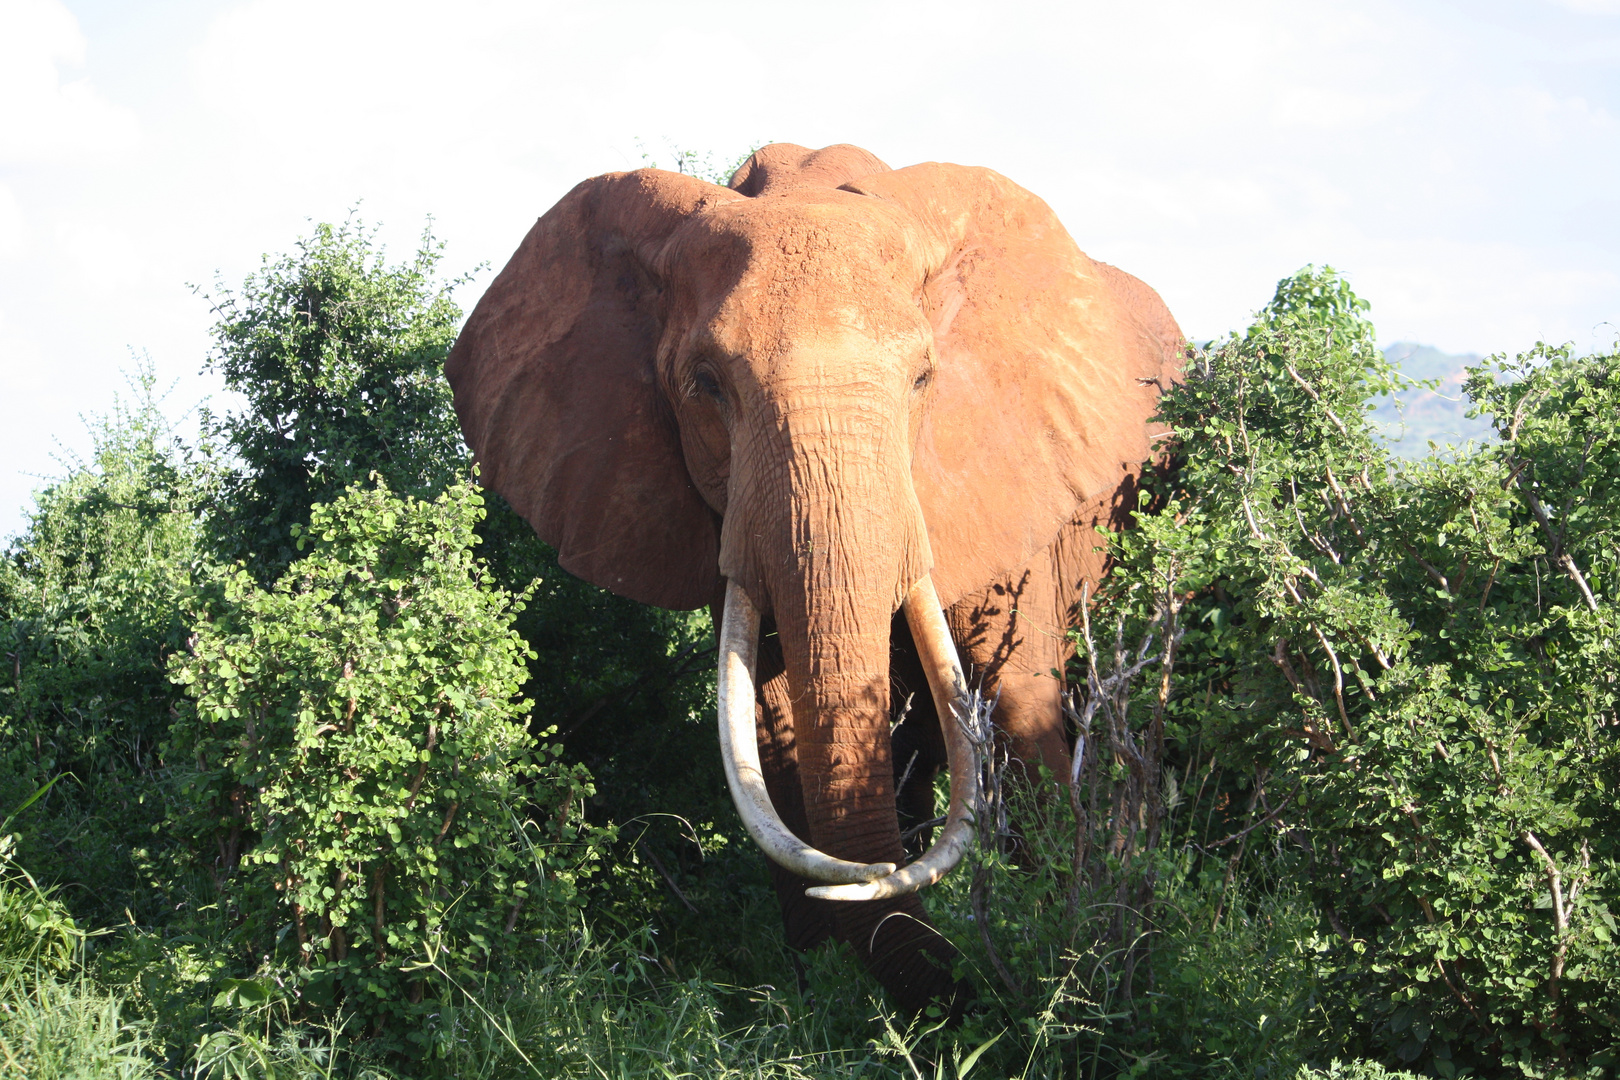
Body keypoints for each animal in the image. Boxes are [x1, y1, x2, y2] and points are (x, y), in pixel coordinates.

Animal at [443, 141, 1179, 1016]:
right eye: (705, 384)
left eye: (924, 379)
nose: (874, 874)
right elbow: (771, 725)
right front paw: (816, 1001)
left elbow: (1014, 701)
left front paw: (1065, 949)